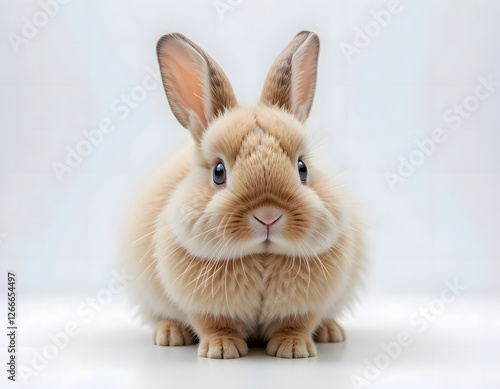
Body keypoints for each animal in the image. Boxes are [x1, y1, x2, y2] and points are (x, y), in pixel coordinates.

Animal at [124, 30, 368, 358]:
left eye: (302, 168)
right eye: (218, 172)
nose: (268, 216)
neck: (261, 256)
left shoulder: (305, 307)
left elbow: (297, 323)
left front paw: (294, 349)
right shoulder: (204, 308)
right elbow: (213, 325)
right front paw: (221, 350)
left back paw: (331, 332)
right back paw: (170, 334)